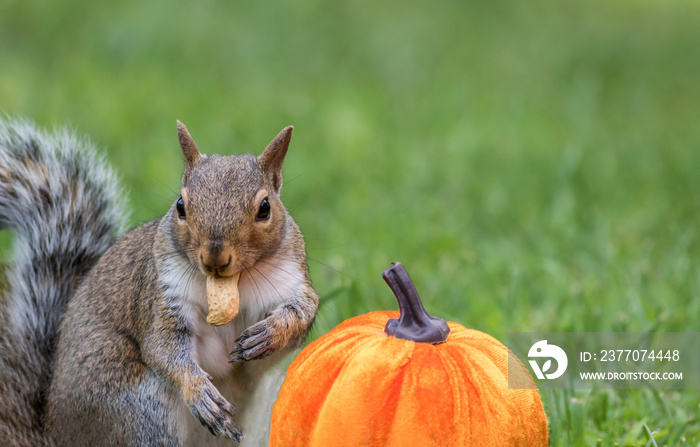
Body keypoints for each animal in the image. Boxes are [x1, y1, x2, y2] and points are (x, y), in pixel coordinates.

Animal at [0, 117, 320, 446]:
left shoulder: (290, 280)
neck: (235, 284)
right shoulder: (162, 296)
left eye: (265, 208)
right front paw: (198, 391)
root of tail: (56, 434)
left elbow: (303, 312)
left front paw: (272, 333)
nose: (214, 258)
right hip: (137, 409)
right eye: (180, 205)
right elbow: (163, 348)